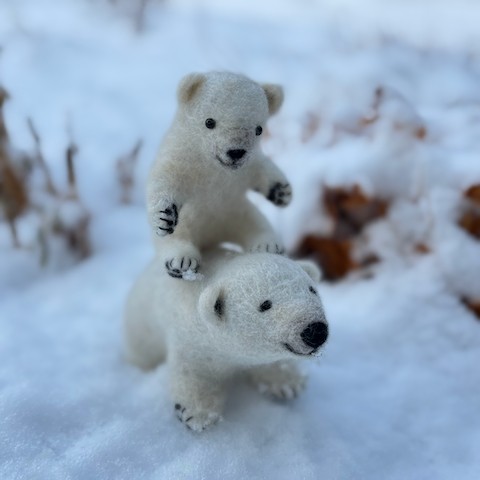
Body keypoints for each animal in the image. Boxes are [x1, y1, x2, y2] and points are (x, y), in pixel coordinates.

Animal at [124, 248, 328, 432]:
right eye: (265, 305)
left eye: (312, 290)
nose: (315, 330)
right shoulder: (193, 342)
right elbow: (196, 373)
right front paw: (198, 414)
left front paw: (287, 383)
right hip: (140, 327)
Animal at [146, 72, 290, 282]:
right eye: (209, 122)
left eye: (259, 129)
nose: (236, 152)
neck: (213, 167)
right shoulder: (182, 161)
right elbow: (164, 180)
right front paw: (164, 215)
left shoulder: (244, 169)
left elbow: (261, 168)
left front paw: (282, 192)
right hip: (194, 222)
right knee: (177, 237)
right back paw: (181, 262)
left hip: (235, 212)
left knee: (256, 223)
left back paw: (268, 244)